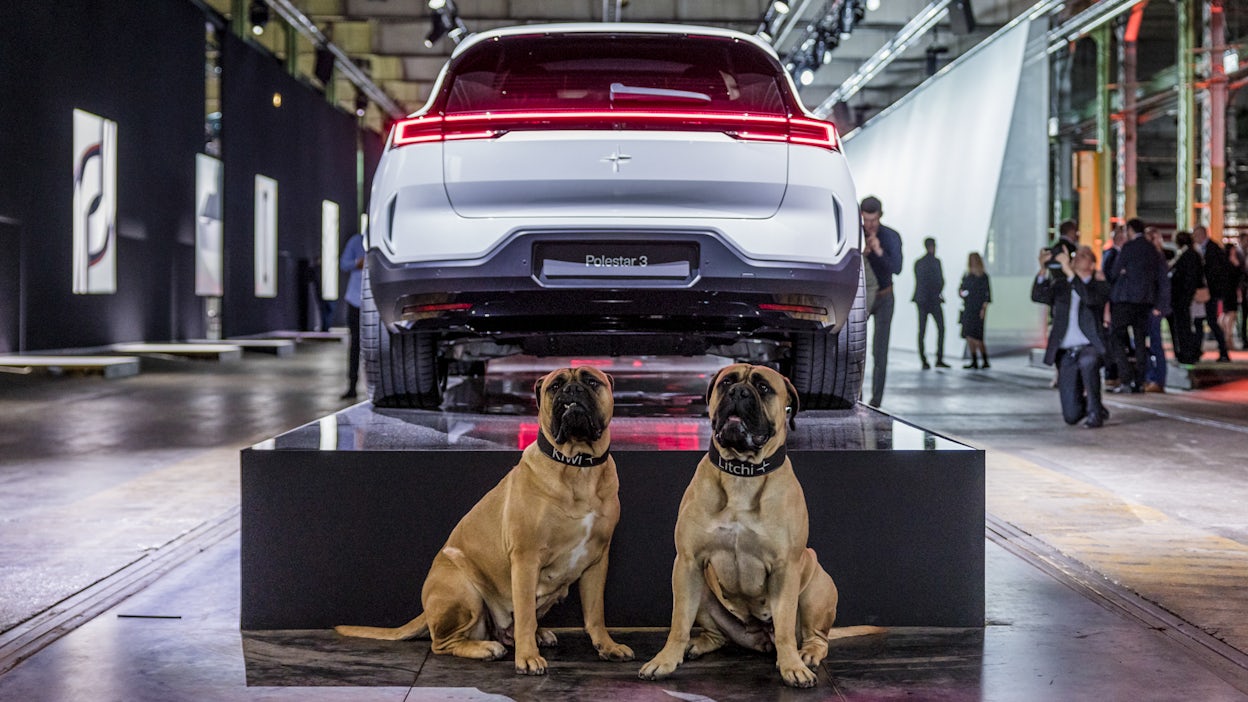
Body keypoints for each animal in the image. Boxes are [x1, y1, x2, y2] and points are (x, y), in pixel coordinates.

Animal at [334, 362, 633, 669]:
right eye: (555, 386)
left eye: (591, 381)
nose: (572, 390)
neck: (577, 465)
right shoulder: (526, 558)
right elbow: (525, 614)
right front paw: (527, 658)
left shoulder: (597, 560)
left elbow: (595, 614)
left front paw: (607, 646)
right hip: (464, 590)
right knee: (443, 644)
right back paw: (486, 648)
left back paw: (537, 635)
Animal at [643, 362, 878, 684]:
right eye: (726, 382)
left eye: (763, 387)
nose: (738, 392)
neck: (742, 472)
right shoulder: (687, 563)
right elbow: (679, 622)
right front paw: (665, 660)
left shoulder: (785, 567)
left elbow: (785, 625)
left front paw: (792, 666)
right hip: (702, 589)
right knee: (716, 633)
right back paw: (697, 644)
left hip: (815, 587)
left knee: (815, 637)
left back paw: (807, 654)